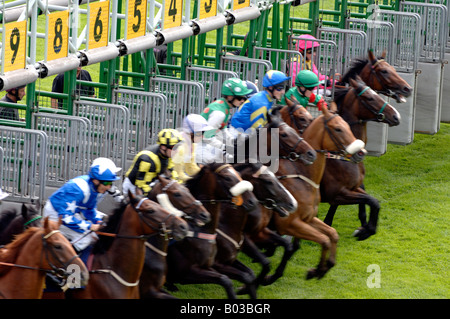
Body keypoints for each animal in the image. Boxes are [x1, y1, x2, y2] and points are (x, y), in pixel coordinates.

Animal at [165, 162, 256, 300]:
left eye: (238, 175)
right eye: (227, 178)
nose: (252, 202)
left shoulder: (222, 262)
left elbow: (248, 275)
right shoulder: (188, 272)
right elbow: (228, 280)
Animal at [270, 105, 366, 280]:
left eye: (348, 126)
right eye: (338, 129)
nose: (361, 152)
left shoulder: (308, 217)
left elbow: (331, 234)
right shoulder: (290, 223)